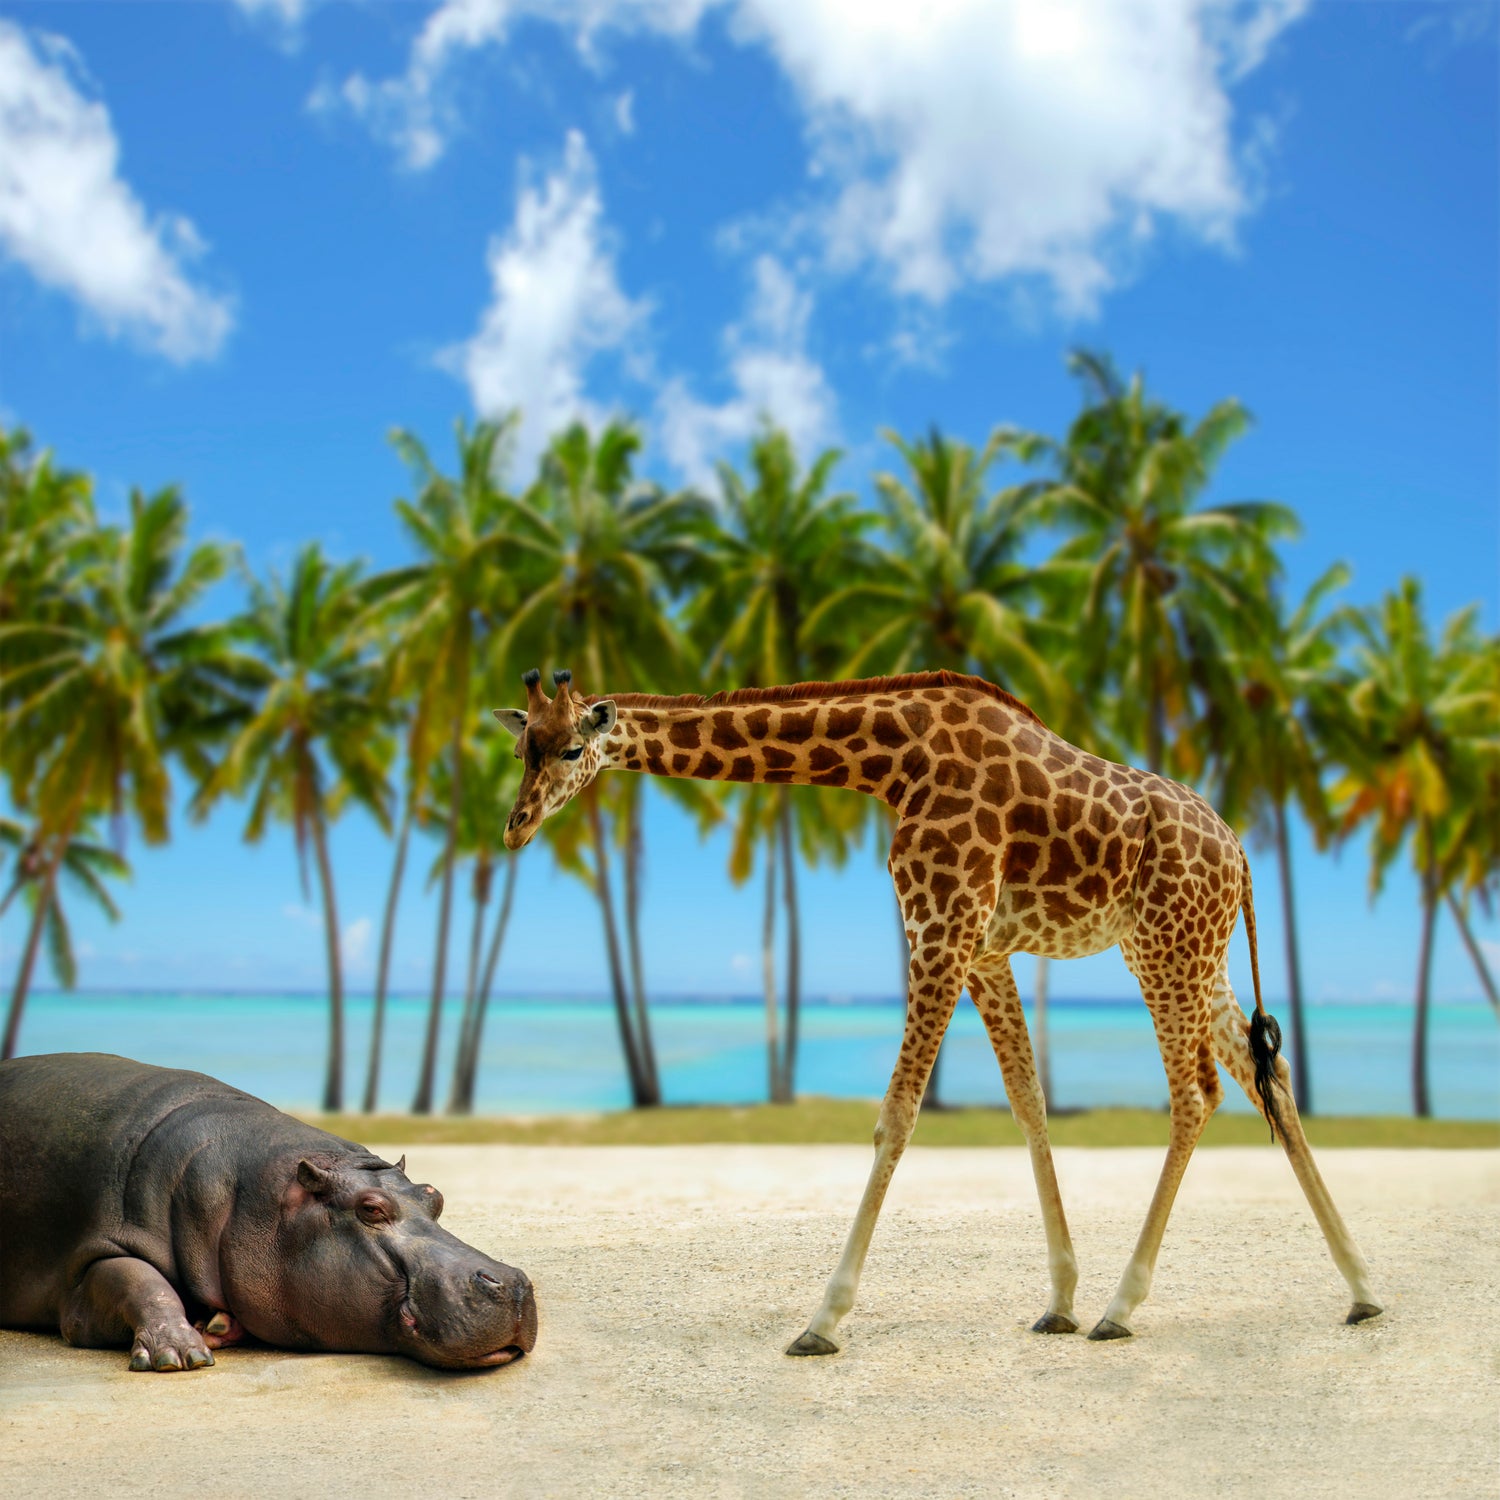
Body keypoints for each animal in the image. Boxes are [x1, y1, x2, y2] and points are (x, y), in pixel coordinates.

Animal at [0, 1053, 538, 1373]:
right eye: (371, 1209)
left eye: (434, 1195)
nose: (512, 1283)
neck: (247, 1197)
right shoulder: (90, 1254)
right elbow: (137, 1279)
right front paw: (180, 1352)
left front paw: (216, 1328)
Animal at [495, 666, 1382, 1351]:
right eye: (519, 747)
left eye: (571, 748)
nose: (516, 826)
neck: (891, 761)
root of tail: (1242, 855)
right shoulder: (982, 947)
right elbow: (1028, 1102)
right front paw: (1058, 1298)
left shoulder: (942, 926)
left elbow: (897, 1116)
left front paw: (823, 1320)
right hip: (1189, 950)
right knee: (1271, 1074)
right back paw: (1364, 1288)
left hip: (1169, 945)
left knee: (1199, 1091)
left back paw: (1124, 1308)